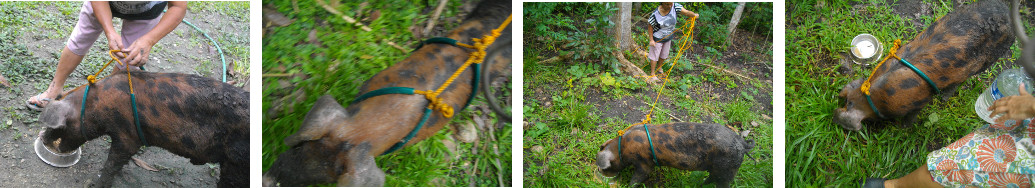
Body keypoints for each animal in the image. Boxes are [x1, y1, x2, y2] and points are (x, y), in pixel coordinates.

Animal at [38, 71, 250, 186]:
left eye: (61, 128)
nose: (44, 139)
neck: (97, 106)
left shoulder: (128, 136)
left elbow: (112, 163)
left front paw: (95, 184)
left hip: (237, 163)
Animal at [596, 122, 757, 186]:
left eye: (603, 167)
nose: (599, 172)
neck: (622, 148)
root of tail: (742, 143)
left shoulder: (645, 162)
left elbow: (639, 177)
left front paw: (628, 185)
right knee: (711, 178)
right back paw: (699, 184)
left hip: (727, 170)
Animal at [836, 0, 1014, 130]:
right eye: (846, 102)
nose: (834, 116)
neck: (873, 97)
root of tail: (1007, 10)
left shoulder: (920, 101)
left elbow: (913, 116)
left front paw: (904, 128)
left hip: (993, 55)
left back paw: (944, 97)